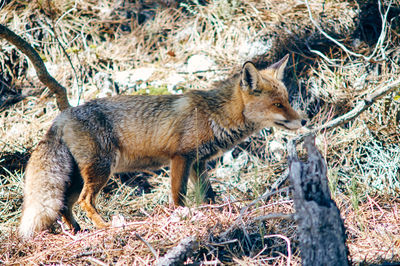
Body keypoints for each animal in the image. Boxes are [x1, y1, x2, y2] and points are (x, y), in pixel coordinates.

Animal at [18, 54, 306, 239]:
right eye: (277, 105)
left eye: (287, 100)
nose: (304, 120)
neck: (214, 115)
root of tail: (61, 116)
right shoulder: (180, 157)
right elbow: (178, 196)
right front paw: (182, 218)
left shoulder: (198, 163)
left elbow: (208, 195)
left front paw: (217, 213)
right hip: (101, 170)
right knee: (84, 201)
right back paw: (106, 227)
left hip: (79, 177)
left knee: (64, 206)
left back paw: (78, 231)